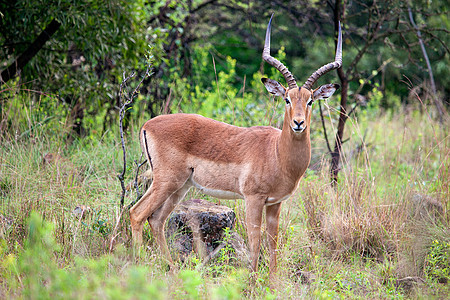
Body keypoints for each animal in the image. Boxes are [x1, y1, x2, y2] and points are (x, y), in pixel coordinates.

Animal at [132, 15, 342, 278]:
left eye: (310, 100)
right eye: (287, 99)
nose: (298, 123)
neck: (277, 154)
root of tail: (147, 124)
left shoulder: (275, 203)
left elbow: (272, 242)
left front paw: (272, 281)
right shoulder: (253, 198)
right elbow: (255, 240)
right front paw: (252, 280)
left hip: (181, 187)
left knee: (156, 220)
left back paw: (171, 268)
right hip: (166, 181)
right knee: (137, 214)